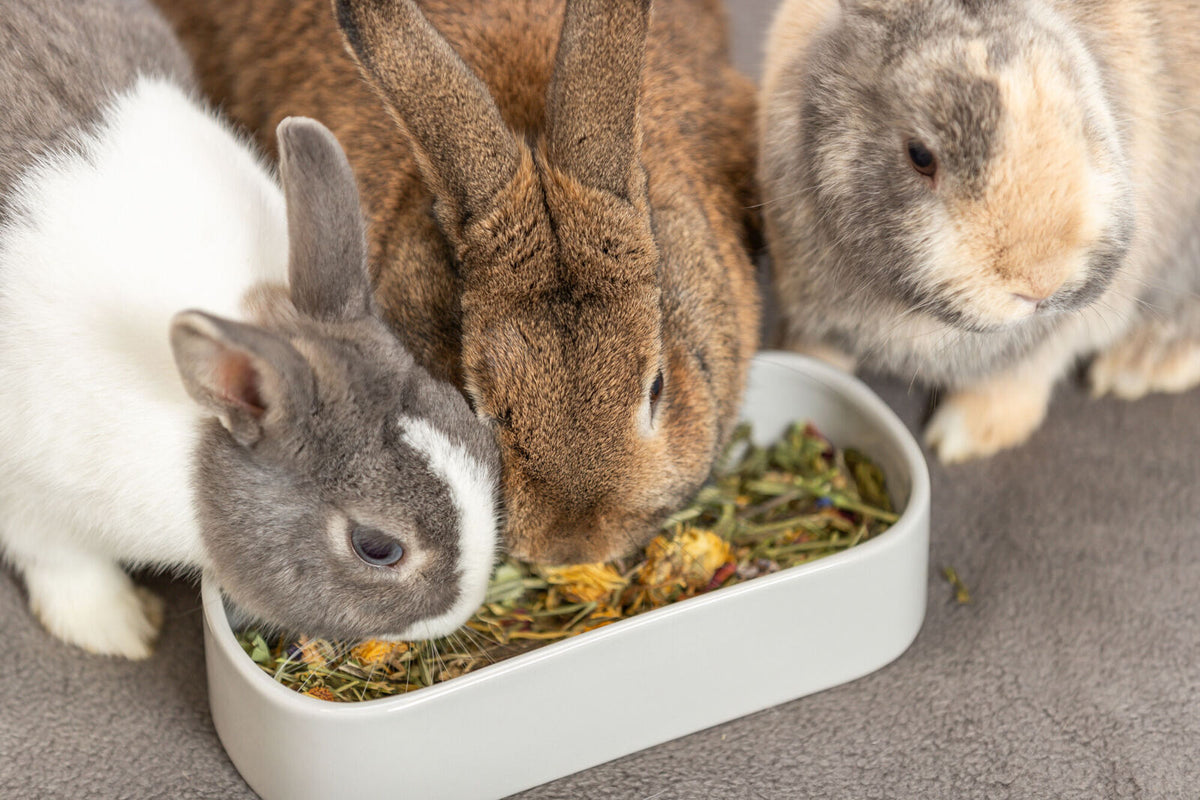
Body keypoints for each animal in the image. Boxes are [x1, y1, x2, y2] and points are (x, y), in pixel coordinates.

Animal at [0, 0, 500, 659]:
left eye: (473, 428)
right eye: (378, 548)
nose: (463, 609)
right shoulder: (28, 498)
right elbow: (65, 566)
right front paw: (123, 631)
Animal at [758, 0, 1200, 462]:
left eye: (1078, 123)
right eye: (920, 155)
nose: (1041, 285)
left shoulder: (1046, 343)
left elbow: (1014, 381)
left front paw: (961, 437)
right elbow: (817, 356)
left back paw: (1137, 366)